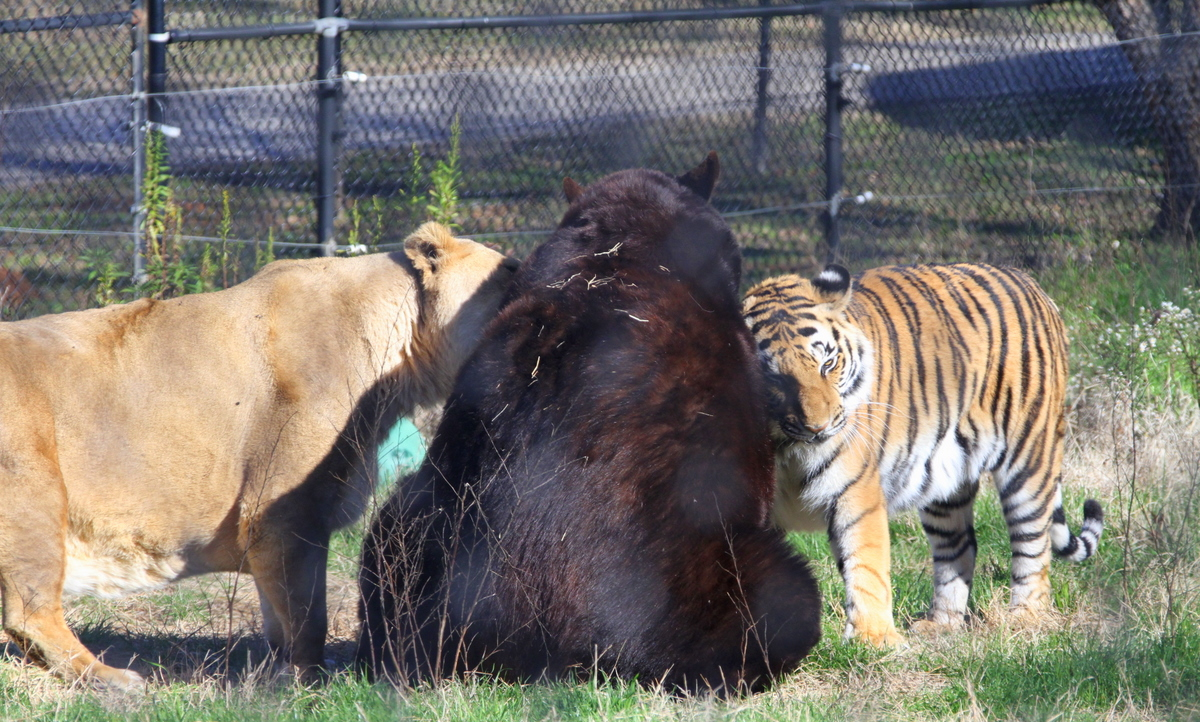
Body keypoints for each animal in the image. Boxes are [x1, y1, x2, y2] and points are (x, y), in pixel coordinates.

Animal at [0, 222, 517, 689]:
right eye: (510, 272)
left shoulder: (272, 526)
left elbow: (278, 615)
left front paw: (277, 672)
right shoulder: (284, 512)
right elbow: (309, 616)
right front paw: (309, 682)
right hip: (34, 490)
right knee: (30, 614)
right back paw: (112, 680)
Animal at [742, 263, 1104, 646]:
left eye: (827, 364)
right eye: (773, 377)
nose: (818, 427)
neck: (783, 445)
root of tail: (1028, 281)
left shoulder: (854, 493)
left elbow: (865, 565)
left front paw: (873, 640)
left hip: (1029, 458)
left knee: (1032, 543)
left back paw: (1025, 618)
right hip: (946, 480)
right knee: (958, 549)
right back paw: (941, 623)